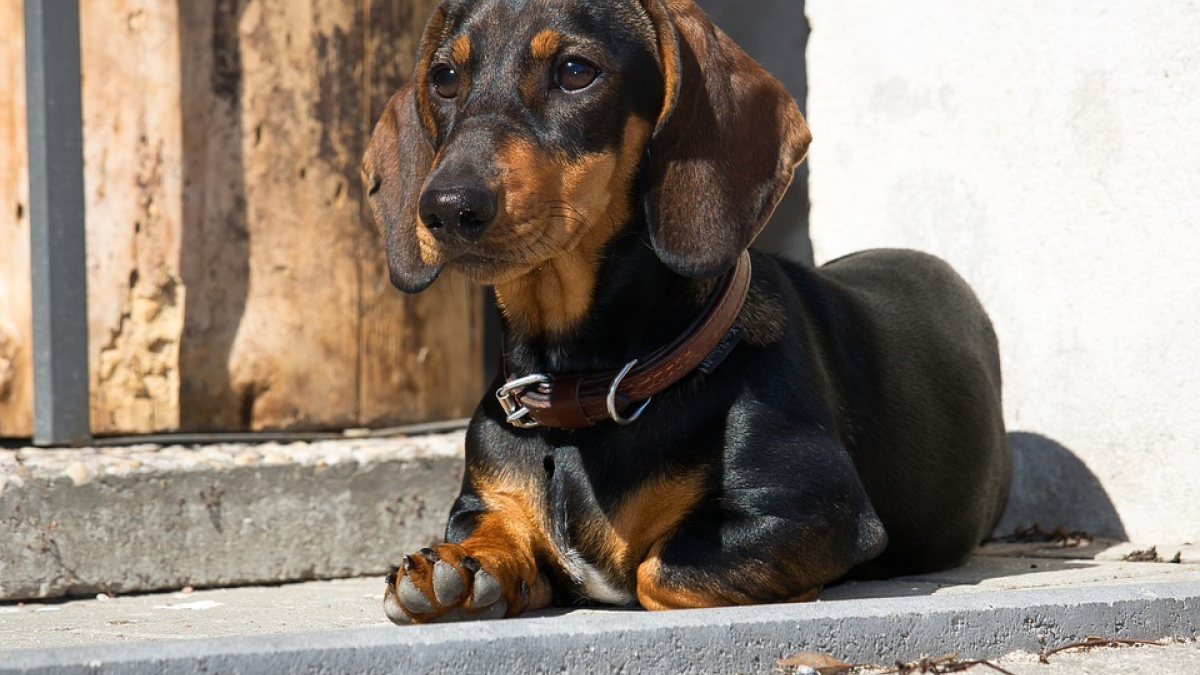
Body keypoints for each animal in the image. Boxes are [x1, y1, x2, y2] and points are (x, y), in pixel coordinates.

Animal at [360, 0, 1008, 624]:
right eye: (444, 78)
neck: (584, 393)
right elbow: (491, 530)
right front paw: (461, 569)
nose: (447, 207)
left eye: (575, 71)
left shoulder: (811, 510)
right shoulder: (480, 503)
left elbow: (658, 571)